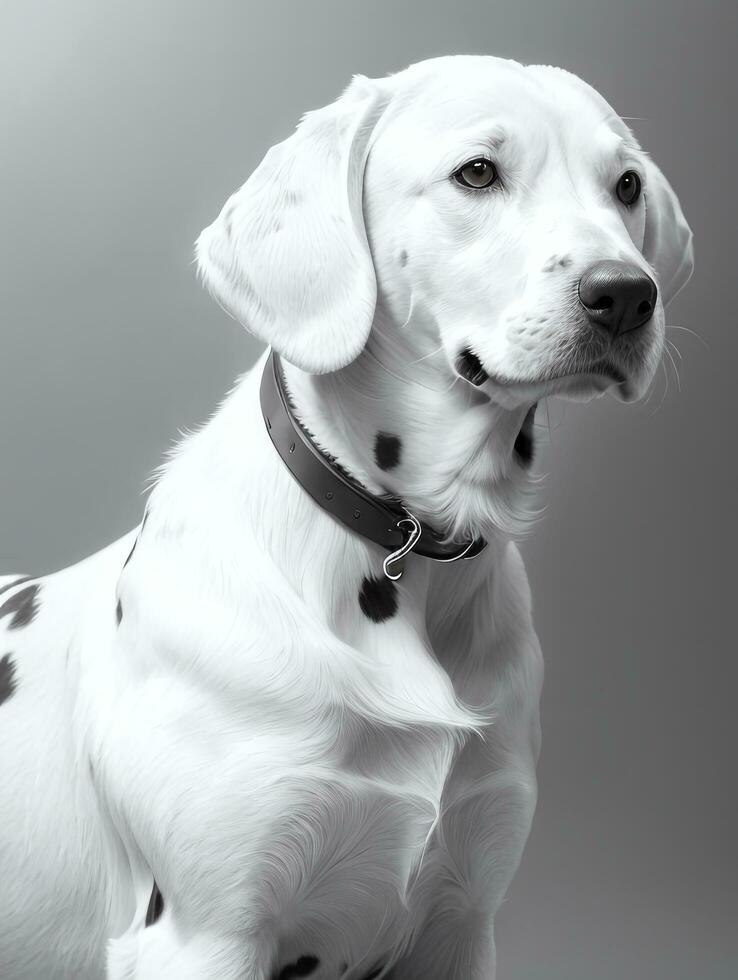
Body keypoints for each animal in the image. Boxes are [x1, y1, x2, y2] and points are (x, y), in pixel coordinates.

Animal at [0, 55, 688, 980]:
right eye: (478, 172)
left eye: (626, 185)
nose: (625, 295)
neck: (406, 548)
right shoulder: (202, 935)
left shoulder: (460, 923)